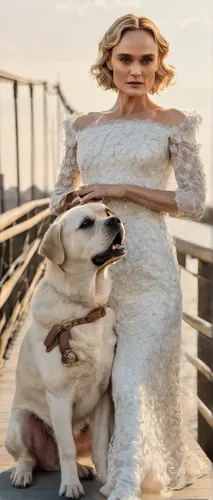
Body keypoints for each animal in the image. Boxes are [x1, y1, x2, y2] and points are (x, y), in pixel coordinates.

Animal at [4, 201, 125, 498]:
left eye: (106, 212)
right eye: (85, 224)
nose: (115, 220)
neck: (84, 309)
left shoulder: (102, 397)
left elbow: (100, 445)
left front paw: (105, 479)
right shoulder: (59, 397)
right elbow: (67, 449)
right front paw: (70, 485)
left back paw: (82, 470)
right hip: (20, 420)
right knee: (29, 457)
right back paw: (23, 474)